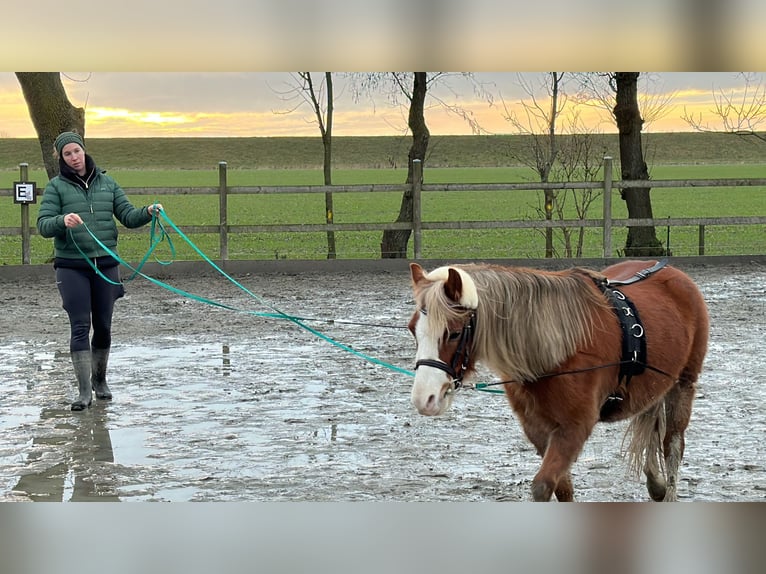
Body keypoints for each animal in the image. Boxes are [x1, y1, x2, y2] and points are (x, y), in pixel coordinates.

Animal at [412, 260, 712, 504]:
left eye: (453, 333)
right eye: (412, 329)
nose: (424, 398)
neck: (555, 347)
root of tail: (674, 274)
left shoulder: (574, 428)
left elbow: (543, 485)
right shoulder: (537, 428)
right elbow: (562, 486)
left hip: (683, 384)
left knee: (672, 444)